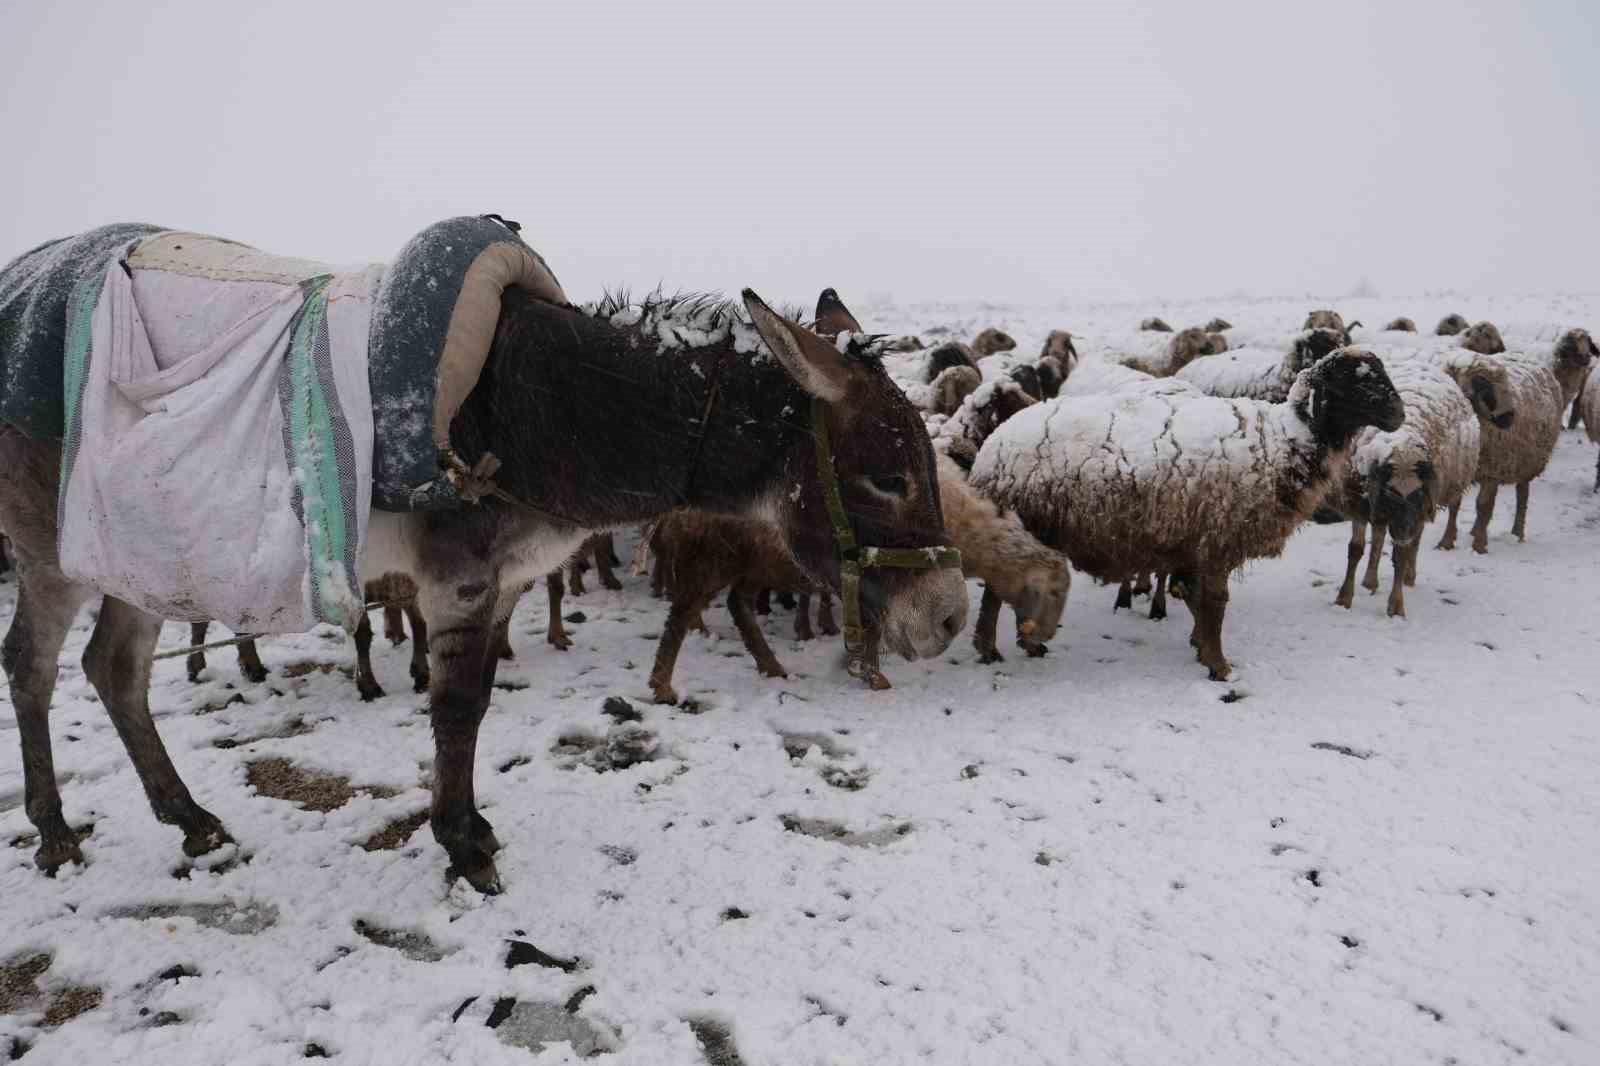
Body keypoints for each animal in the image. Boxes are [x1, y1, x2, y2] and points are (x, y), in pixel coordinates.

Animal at [966, 350, 1408, 681]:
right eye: (1355, 379)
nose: (1399, 414)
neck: (1287, 444)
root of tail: (992, 450)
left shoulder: (1195, 543)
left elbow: (1194, 597)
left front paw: (1199, 646)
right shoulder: (1217, 539)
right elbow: (1215, 603)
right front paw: (1218, 665)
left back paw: (1025, 644)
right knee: (994, 591)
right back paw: (990, 649)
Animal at [1324, 356, 1484, 614]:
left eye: (1417, 493)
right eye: (1390, 491)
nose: (1403, 529)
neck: (1399, 441)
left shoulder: (1417, 508)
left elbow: (1401, 554)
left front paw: (1396, 605)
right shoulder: (1361, 502)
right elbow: (1355, 549)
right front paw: (1344, 598)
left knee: (1412, 542)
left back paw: (1408, 575)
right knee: (1380, 533)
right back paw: (1370, 580)